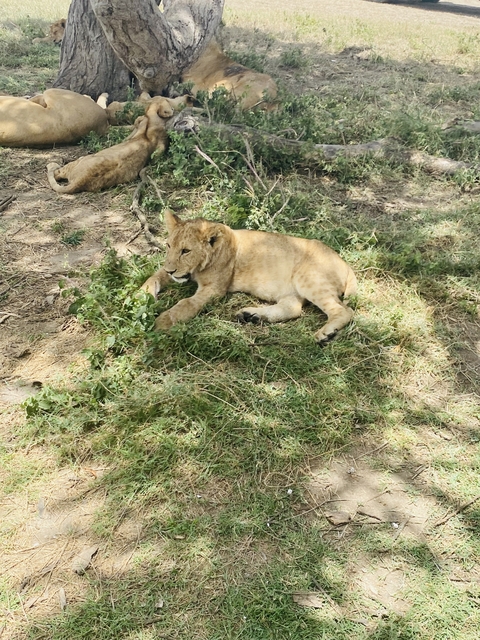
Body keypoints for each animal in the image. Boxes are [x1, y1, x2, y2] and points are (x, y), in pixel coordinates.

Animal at [46, 97, 174, 194]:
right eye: (167, 101)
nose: (173, 109)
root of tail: (80, 181)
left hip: (79, 161)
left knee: (57, 173)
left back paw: (52, 164)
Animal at [141, 211, 357, 343]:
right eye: (169, 245)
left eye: (186, 251)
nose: (171, 271)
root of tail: (345, 264)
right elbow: (153, 276)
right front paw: (141, 296)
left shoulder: (214, 289)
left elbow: (187, 303)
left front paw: (163, 321)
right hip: (293, 291)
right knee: (293, 309)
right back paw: (250, 316)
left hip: (309, 279)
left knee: (344, 310)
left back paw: (326, 334)